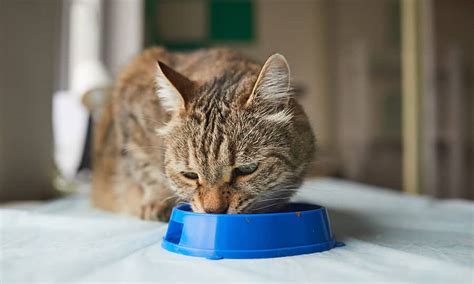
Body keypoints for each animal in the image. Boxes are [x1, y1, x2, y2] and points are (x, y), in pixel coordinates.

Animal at [91, 47, 314, 222]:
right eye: (189, 175)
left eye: (247, 169)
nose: (213, 210)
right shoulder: (130, 109)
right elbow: (145, 167)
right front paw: (158, 200)